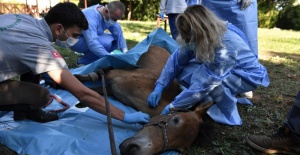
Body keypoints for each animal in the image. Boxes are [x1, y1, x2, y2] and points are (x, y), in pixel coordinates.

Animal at [74, 45, 213, 154]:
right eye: (176, 119)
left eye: (177, 149)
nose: (132, 150)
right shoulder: (115, 75)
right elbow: (89, 78)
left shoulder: (111, 89)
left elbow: (92, 91)